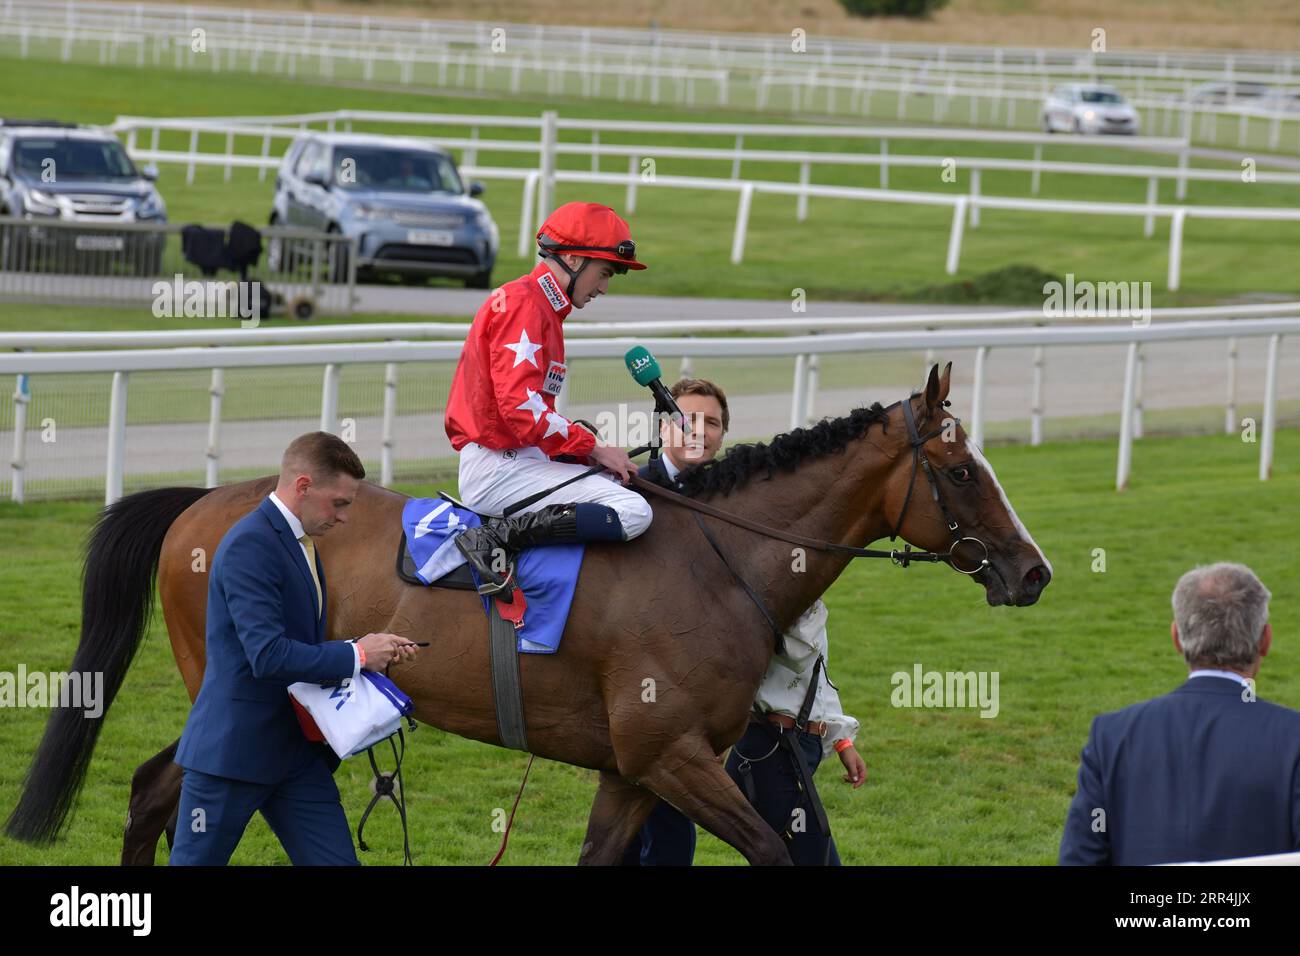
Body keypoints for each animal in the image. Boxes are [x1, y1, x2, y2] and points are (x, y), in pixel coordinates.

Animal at [2, 361, 1045, 863]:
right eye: (960, 470)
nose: (1032, 573)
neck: (716, 560)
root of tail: (204, 502)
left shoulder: (634, 770)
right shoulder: (674, 755)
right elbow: (769, 851)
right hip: (243, 689)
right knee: (162, 791)